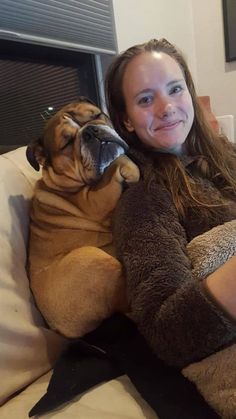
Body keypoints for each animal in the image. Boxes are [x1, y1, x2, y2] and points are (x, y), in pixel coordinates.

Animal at [26, 97, 139, 338]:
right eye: (67, 143)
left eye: (96, 115)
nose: (91, 131)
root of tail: (60, 330)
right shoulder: (95, 201)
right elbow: (115, 164)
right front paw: (129, 167)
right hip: (90, 257)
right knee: (125, 299)